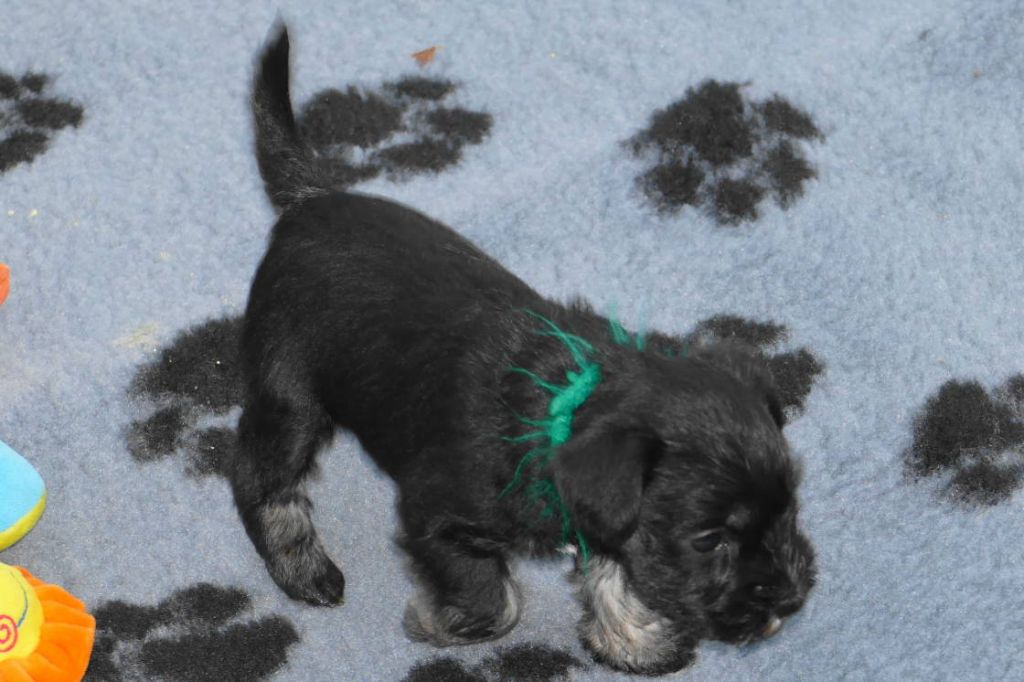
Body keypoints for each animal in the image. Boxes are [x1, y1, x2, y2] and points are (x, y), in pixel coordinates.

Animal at [229, 24, 817, 675]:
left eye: (789, 508)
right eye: (710, 540)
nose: (789, 599)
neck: (563, 407)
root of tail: (309, 199)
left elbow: (612, 562)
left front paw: (635, 642)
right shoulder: (434, 513)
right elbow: (492, 600)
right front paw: (439, 624)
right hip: (290, 391)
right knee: (259, 476)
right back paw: (301, 567)